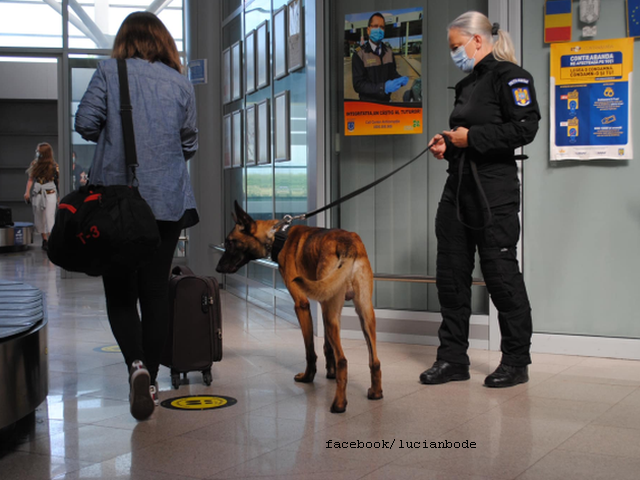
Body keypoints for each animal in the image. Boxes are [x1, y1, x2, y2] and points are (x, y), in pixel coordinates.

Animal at [216, 201, 384, 414]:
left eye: (230, 242)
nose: (217, 269)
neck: (278, 235)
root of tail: (348, 245)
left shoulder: (302, 305)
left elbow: (310, 350)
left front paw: (308, 377)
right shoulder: (322, 303)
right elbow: (327, 345)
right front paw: (329, 372)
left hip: (333, 315)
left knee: (343, 361)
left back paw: (339, 403)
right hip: (363, 313)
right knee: (374, 360)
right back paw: (376, 392)